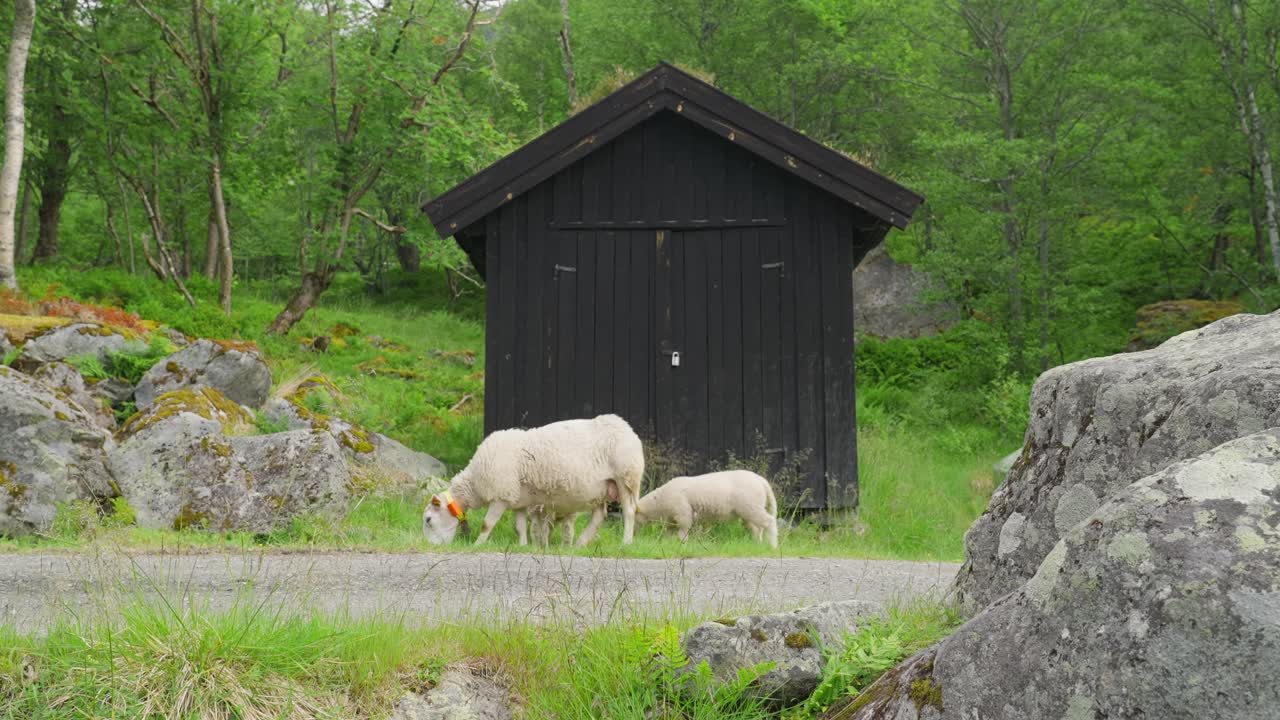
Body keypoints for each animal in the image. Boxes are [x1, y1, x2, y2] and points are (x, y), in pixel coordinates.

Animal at [422, 414, 644, 546]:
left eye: (428, 519)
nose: (428, 545)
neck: (474, 484)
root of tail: (627, 428)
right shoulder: (517, 498)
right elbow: (519, 526)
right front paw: (523, 545)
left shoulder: (501, 495)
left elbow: (487, 524)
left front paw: (478, 544)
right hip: (601, 488)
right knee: (598, 516)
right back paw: (579, 544)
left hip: (626, 477)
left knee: (629, 511)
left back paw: (626, 542)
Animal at [635, 470, 778, 548]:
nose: (634, 534)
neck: (658, 502)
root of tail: (762, 481)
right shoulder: (671, 520)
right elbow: (668, 535)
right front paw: (668, 545)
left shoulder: (683, 514)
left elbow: (683, 532)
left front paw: (683, 545)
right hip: (750, 510)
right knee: (757, 529)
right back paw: (757, 545)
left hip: (751, 506)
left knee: (769, 522)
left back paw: (773, 545)